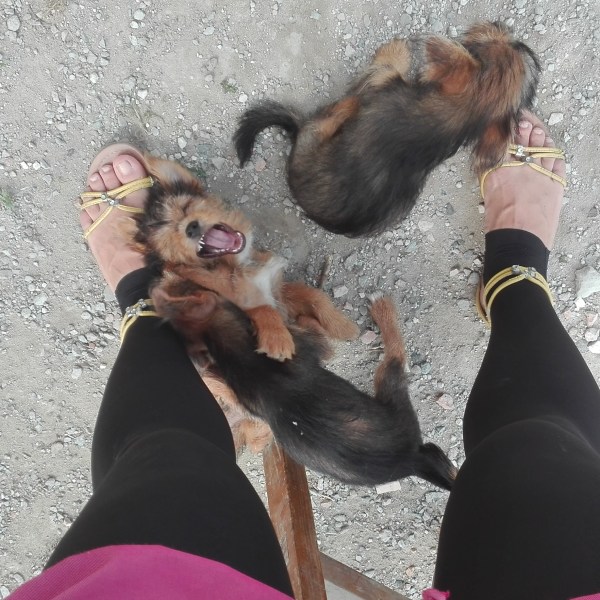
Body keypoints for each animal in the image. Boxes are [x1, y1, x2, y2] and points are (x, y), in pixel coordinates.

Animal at [131, 153, 359, 452]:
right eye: (172, 240)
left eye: (186, 208)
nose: (191, 227)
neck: (233, 266)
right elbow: (260, 308)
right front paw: (277, 339)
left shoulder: (277, 289)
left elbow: (313, 294)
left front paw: (343, 325)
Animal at [152, 279, 456, 489]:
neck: (232, 354)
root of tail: (412, 460)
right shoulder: (314, 344)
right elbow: (312, 327)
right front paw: (303, 317)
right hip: (389, 387)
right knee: (395, 356)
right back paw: (382, 308)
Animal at [234, 21, 540, 237]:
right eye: (511, 44)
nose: (501, 26)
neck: (462, 113)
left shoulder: (386, 80)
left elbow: (388, 65)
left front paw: (397, 48)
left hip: (315, 133)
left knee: (338, 110)